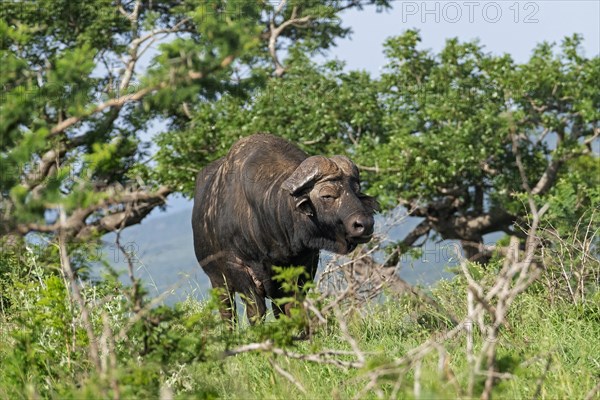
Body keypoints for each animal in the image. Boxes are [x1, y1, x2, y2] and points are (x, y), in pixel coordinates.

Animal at [192, 133, 380, 324]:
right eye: (327, 195)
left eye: (356, 191)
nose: (365, 224)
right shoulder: (240, 269)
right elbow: (256, 312)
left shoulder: (305, 267)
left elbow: (292, 308)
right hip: (218, 281)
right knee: (227, 314)